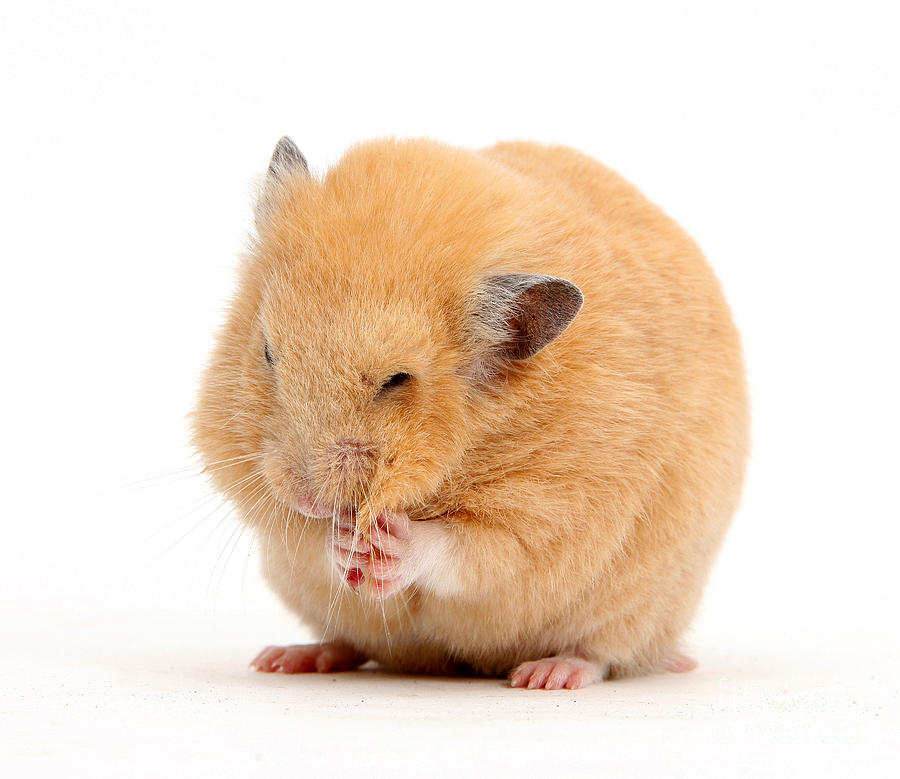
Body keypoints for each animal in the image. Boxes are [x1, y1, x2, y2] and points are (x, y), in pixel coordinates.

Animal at [193, 134, 748, 688]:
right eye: (268, 352)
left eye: (397, 380)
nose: (308, 499)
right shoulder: (248, 480)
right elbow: (303, 538)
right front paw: (341, 541)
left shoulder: (545, 513)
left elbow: (464, 546)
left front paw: (391, 543)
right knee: (349, 641)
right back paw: (289, 657)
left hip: (640, 604)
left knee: (602, 652)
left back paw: (547, 675)